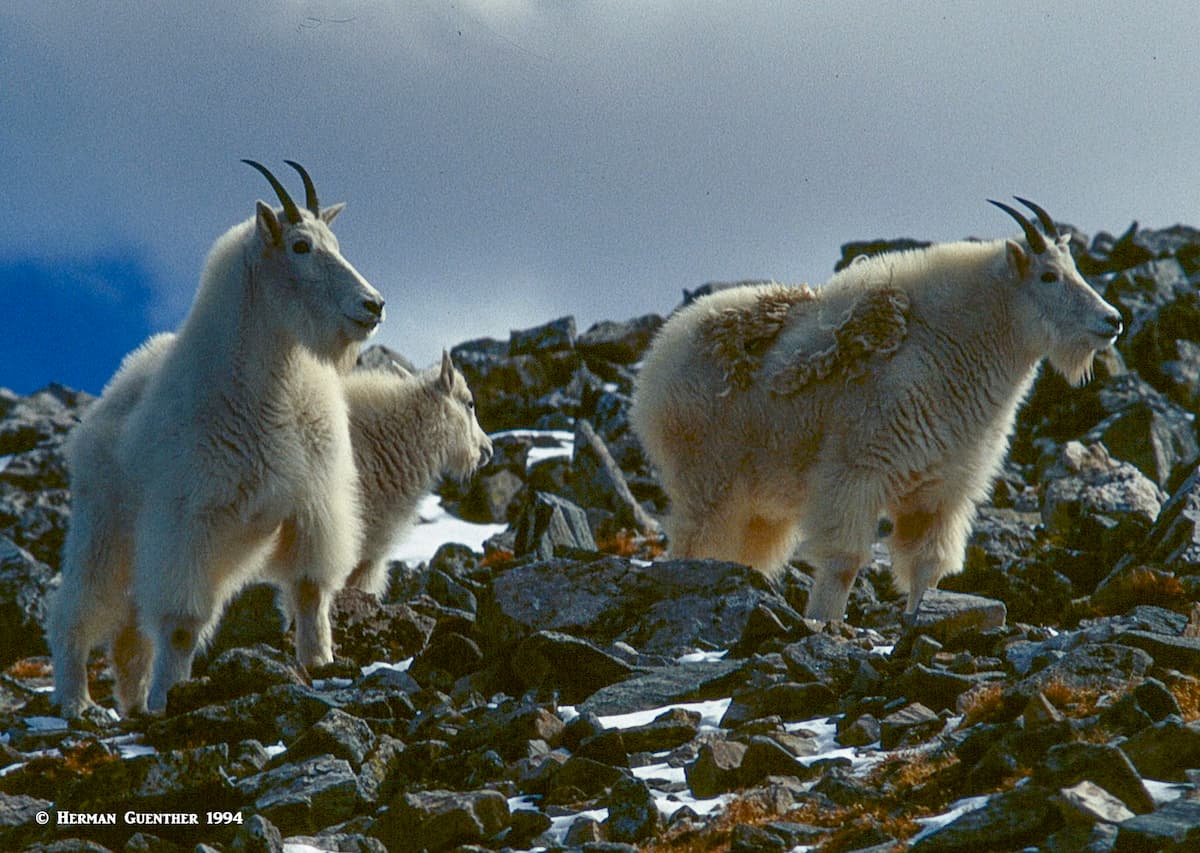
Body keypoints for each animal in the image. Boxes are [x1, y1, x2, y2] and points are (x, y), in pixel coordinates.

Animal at [47, 161, 385, 715]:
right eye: (300, 246)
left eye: (335, 241)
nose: (372, 305)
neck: (275, 388)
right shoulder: (190, 519)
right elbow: (182, 625)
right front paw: (169, 695)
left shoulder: (313, 504)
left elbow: (310, 591)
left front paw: (320, 662)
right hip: (105, 529)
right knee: (79, 610)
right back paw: (76, 701)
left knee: (129, 635)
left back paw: (132, 704)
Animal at [630, 198, 1123, 622]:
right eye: (1049, 276)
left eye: (1074, 268)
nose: (1112, 320)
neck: (955, 346)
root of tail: (659, 359)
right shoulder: (858, 471)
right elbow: (845, 559)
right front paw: (824, 624)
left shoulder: (942, 491)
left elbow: (928, 566)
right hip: (707, 479)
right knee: (695, 542)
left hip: (759, 504)